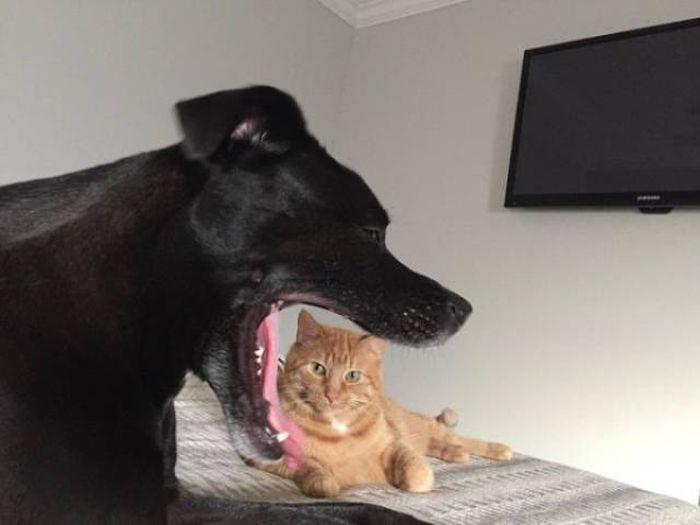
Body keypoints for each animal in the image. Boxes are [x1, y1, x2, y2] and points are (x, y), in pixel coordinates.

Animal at [249, 310, 512, 498]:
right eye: (317, 368)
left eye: (353, 376)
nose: (331, 395)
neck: (338, 429)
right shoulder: (265, 456)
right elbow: (310, 469)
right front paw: (323, 481)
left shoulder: (393, 444)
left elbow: (415, 469)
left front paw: (414, 479)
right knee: (433, 444)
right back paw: (457, 454)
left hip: (419, 426)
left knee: (456, 438)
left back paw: (496, 449)